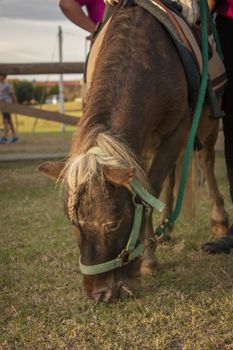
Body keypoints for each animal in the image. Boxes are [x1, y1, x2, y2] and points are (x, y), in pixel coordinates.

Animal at [39, 4, 228, 300]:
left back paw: (219, 223)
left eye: (114, 224)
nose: (99, 294)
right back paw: (166, 227)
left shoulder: (178, 131)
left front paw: (148, 260)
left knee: (206, 163)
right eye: (73, 223)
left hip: (208, 125)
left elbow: (149, 191)